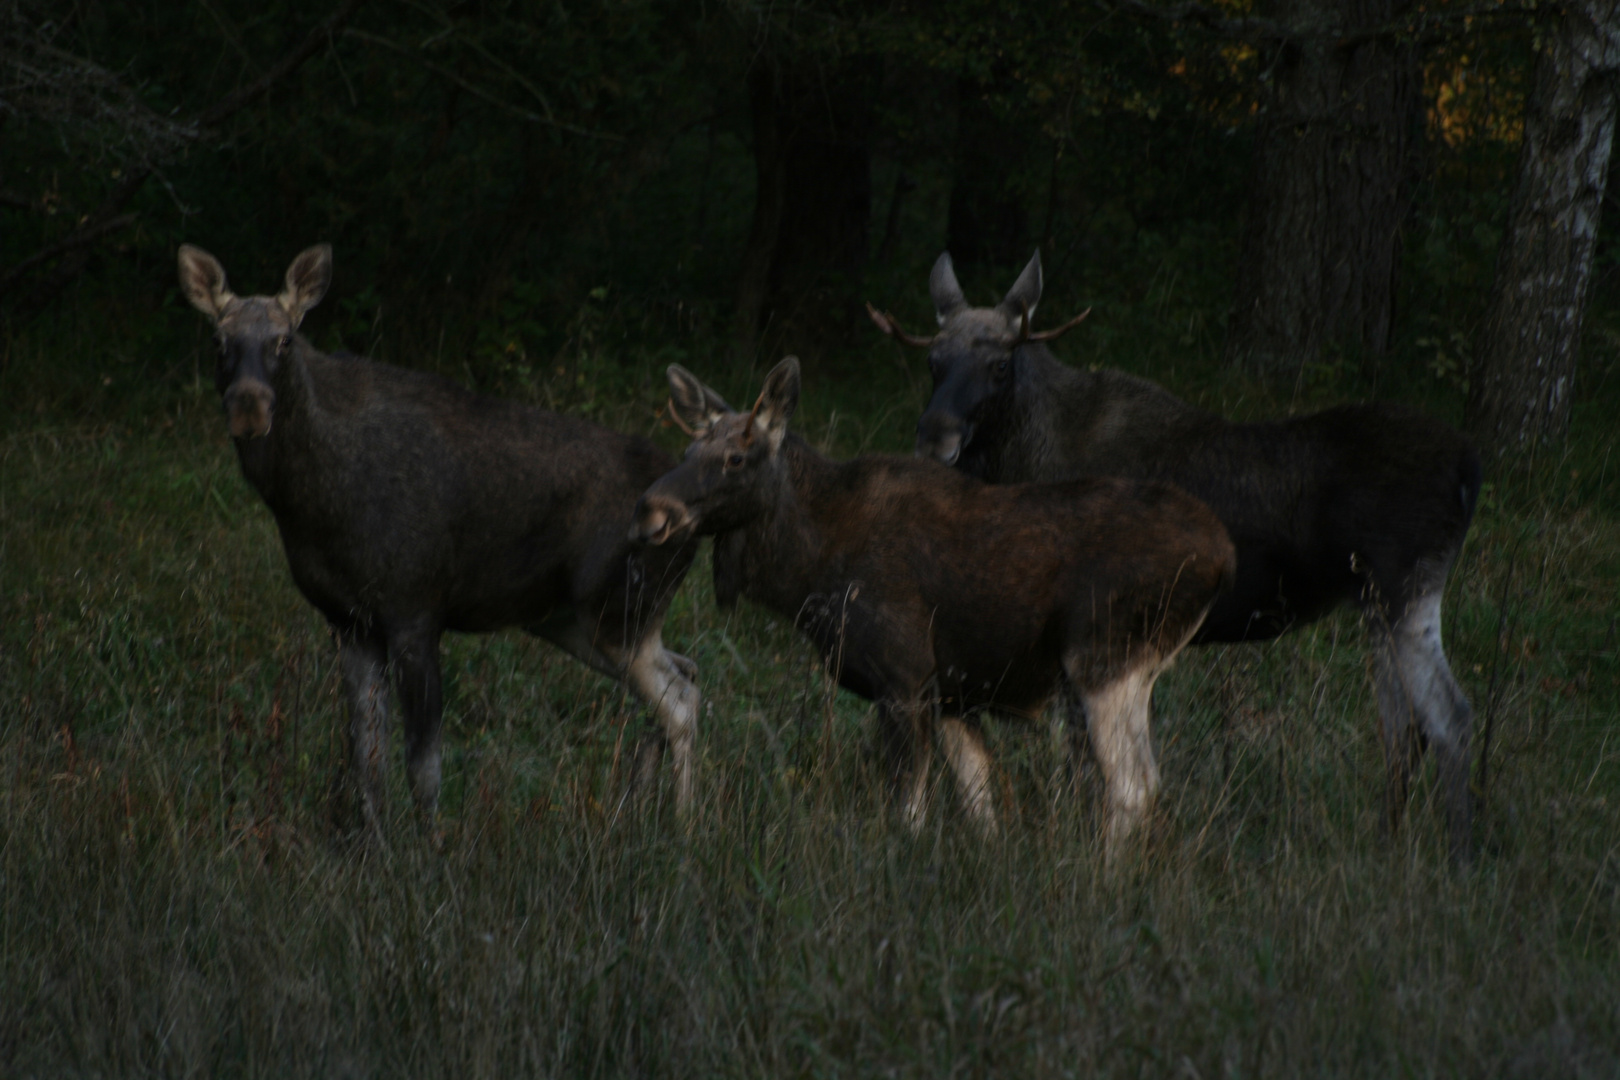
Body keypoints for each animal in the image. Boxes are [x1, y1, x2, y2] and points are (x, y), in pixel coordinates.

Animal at [179, 244, 703, 835]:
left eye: (284, 339)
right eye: (218, 340)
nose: (248, 405)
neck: (310, 506)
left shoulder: (415, 609)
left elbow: (422, 764)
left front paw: (429, 847)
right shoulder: (349, 622)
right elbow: (366, 758)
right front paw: (374, 842)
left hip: (617, 612)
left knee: (680, 702)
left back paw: (684, 829)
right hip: (578, 622)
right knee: (684, 676)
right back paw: (637, 816)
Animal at [625, 359, 1231, 848]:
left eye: (735, 457)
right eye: (688, 450)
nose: (651, 510)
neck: (808, 571)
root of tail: (1221, 554)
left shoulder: (904, 677)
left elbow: (908, 815)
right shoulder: (952, 695)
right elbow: (981, 807)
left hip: (1102, 657)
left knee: (1131, 787)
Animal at [874, 250, 1483, 861]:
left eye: (1000, 365)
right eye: (933, 361)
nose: (935, 440)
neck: (1025, 458)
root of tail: (1468, 468)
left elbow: (1084, 760)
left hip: (1405, 592)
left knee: (1450, 719)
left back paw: (1459, 857)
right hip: (1375, 605)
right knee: (1404, 729)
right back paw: (1387, 844)